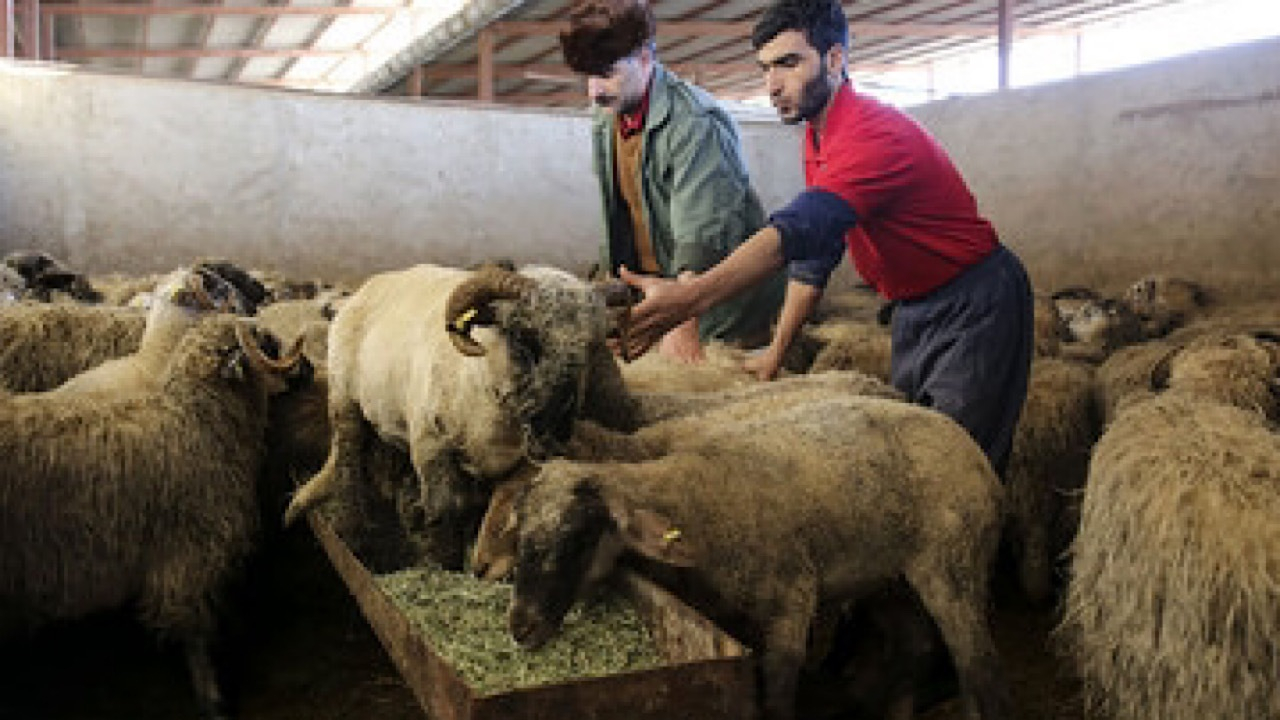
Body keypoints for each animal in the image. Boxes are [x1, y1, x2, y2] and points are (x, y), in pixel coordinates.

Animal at [0, 316, 307, 712]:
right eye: (265, 340)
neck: (197, 422)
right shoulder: (189, 554)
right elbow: (194, 631)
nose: (309, 370)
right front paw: (211, 696)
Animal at [285, 260, 634, 568]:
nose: (554, 430)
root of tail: (366, 288)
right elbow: (445, 507)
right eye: (521, 336)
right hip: (345, 399)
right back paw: (355, 534)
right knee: (348, 460)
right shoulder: (430, 445)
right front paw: (445, 562)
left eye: (592, 345)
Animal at [499, 392, 1008, 717]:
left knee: (979, 668)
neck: (697, 496)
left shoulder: (791, 596)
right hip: (889, 577)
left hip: (952, 565)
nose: (520, 627)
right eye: (520, 533)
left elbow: (778, 692)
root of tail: (971, 448)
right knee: (916, 647)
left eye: (578, 538)